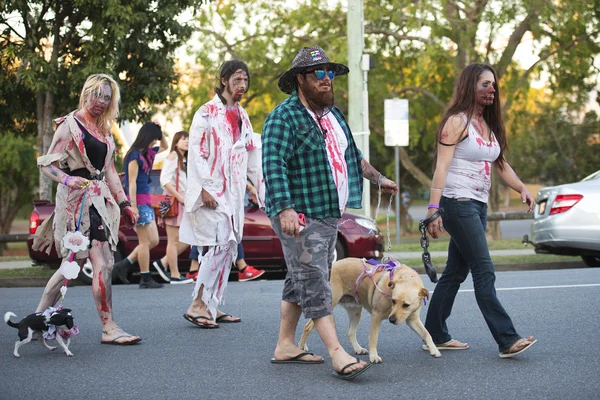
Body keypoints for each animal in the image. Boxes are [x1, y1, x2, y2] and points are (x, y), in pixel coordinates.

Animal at [296, 256, 440, 362]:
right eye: (394, 301)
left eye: (406, 305)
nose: (392, 320)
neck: (406, 278)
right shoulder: (376, 316)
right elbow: (373, 338)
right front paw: (374, 356)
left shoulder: (412, 320)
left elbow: (427, 333)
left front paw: (434, 349)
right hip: (328, 307)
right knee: (307, 326)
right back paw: (301, 347)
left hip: (355, 311)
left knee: (350, 333)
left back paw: (358, 349)